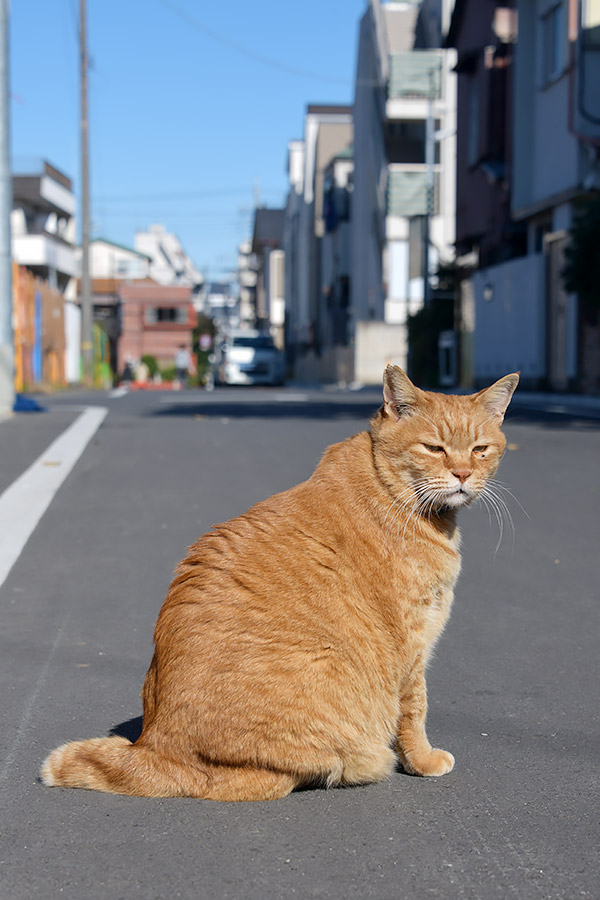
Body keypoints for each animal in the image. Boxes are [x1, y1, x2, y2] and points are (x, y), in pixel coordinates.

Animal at [43, 366, 520, 800]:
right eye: (434, 449)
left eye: (479, 450)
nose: (462, 475)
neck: (394, 493)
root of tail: (155, 745)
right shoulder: (411, 644)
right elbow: (415, 708)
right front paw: (422, 761)